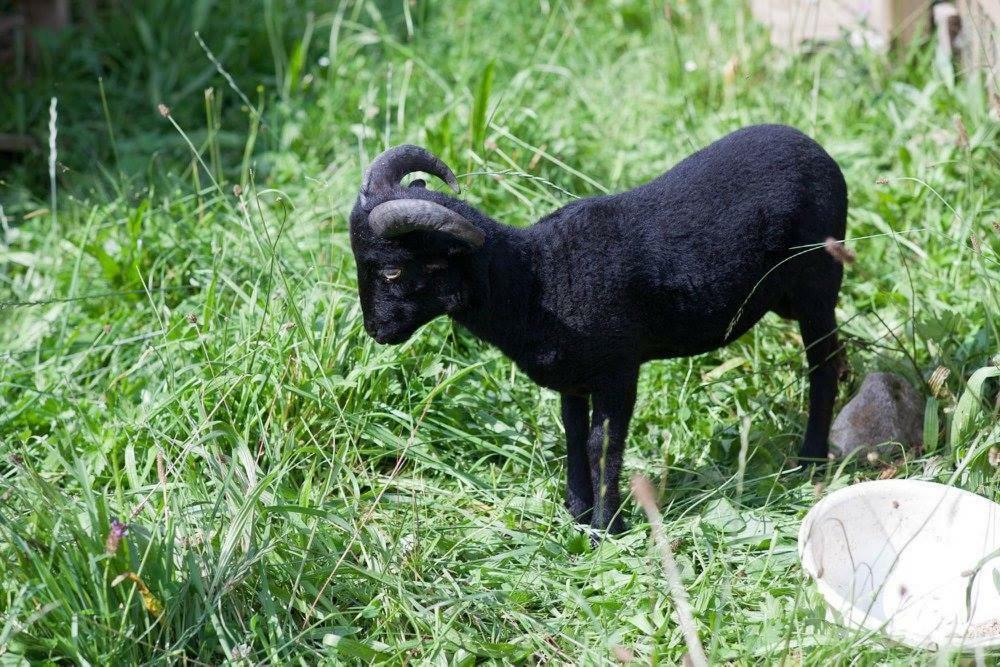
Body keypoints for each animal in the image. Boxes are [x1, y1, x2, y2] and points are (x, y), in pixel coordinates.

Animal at [348, 124, 848, 532]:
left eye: (391, 271)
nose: (375, 331)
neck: (538, 280)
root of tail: (811, 144)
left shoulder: (618, 371)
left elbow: (601, 444)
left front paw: (608, 527)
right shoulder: (573, 378)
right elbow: (573, 435)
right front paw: (578, 511)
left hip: (818, 285)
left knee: (825, 365)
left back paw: (810, 459)